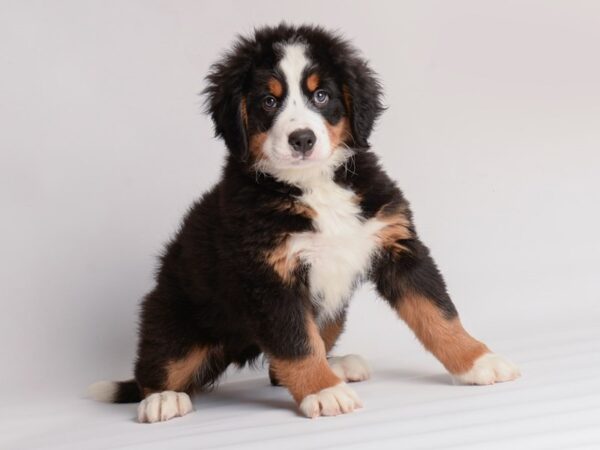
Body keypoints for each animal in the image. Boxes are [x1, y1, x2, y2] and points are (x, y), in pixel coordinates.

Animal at [89, 23, 520, 422]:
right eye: (268, 100)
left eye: (321, 95)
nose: (302, 139)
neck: (313, 185)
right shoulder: (269, 276)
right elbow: (296, 343)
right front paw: (322, 392)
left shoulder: (398, 244)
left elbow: (438, 312)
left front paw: (478, 361)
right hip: (174, 321)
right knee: (157, 369)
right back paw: (162, 400)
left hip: (332, 314)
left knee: (286, 362)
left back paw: (339, 366)